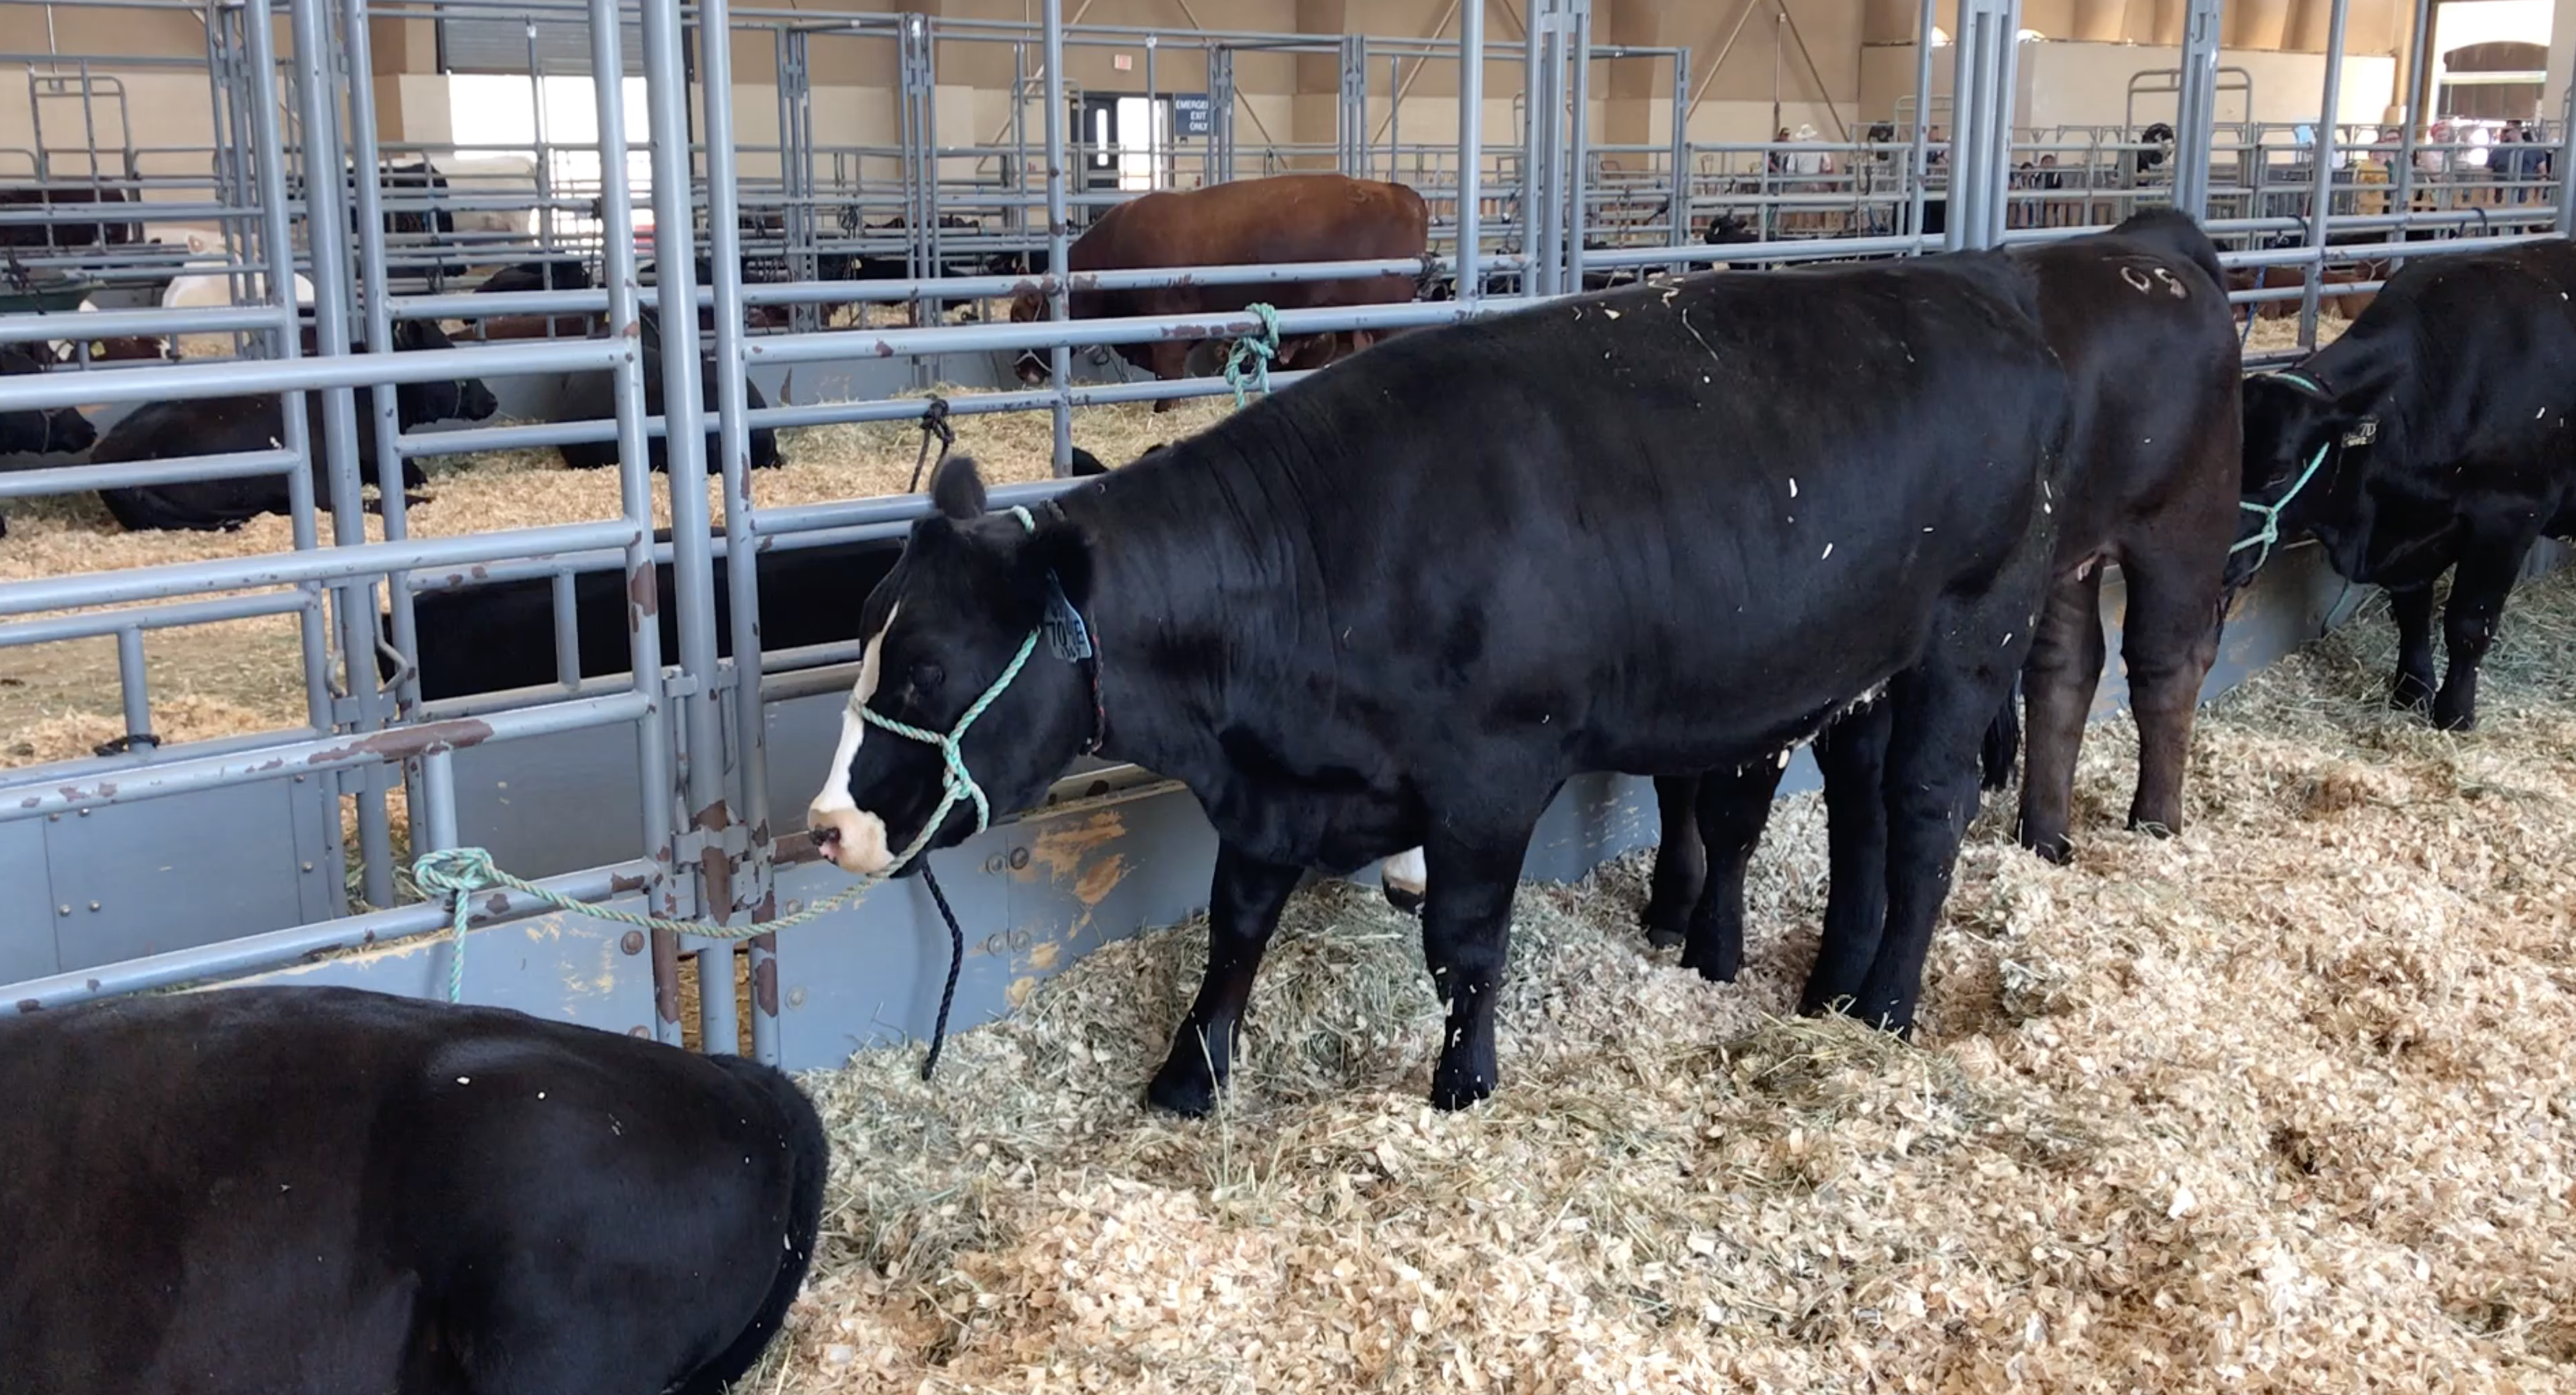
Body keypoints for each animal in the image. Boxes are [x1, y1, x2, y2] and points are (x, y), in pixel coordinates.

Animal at [805, 259, 2072, 1116]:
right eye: (863, 638)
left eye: (927, 666)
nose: (824, 826)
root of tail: (1986, 301)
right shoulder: (1274, 792)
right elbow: (1235, 927)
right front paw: (1189, 1075)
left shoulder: (1490, 779)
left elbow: (1464, 945)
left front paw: (1462, 1083)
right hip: (1866, 668)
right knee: (1862, 811)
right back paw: (1828, 990)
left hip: (1976, 629)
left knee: (1926, 816)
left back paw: (1889, 1006)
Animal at [2234, 239, 2576, 733]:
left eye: (2279, 471)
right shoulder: (2410, 541)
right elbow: (2412, 613)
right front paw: (2411, 692)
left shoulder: (2511, 515)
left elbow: (2469, 623)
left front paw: (2454, 713)